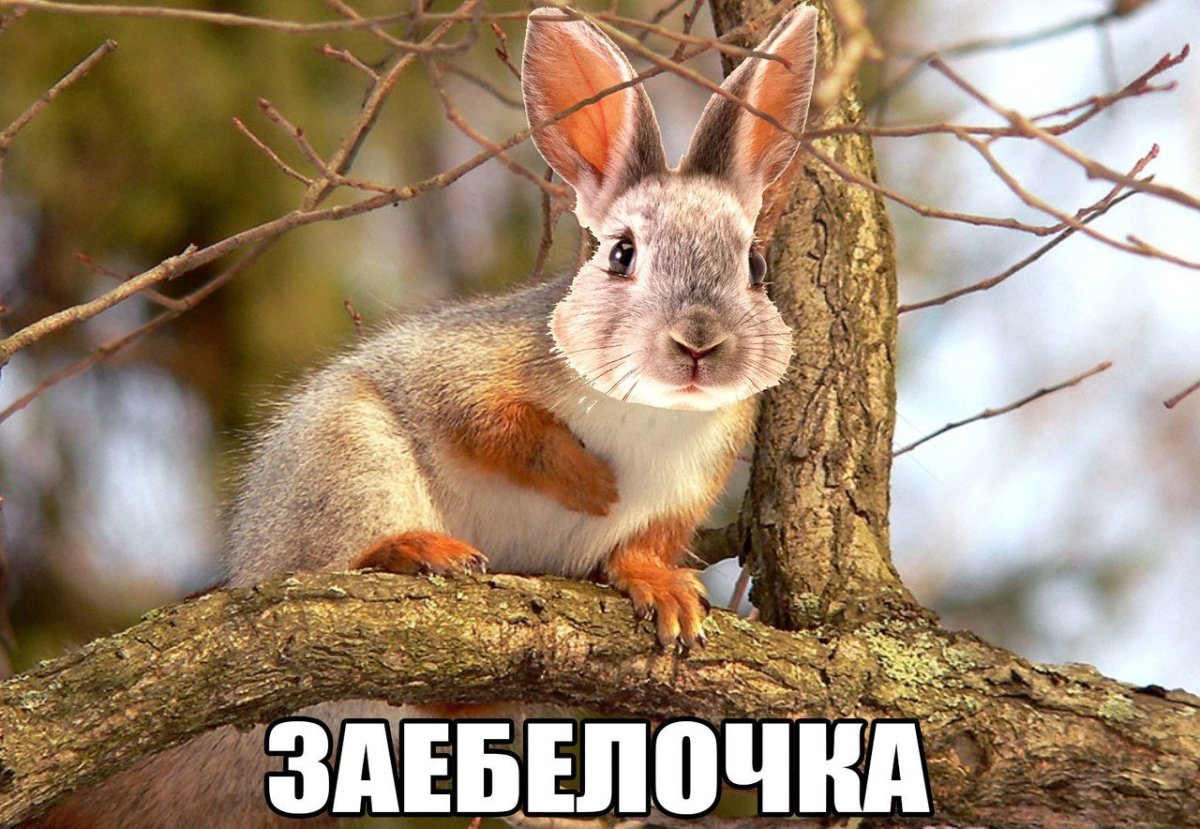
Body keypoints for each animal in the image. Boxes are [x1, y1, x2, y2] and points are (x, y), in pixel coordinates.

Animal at [31, 5, 818, 827]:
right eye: (620, 254)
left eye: (756, 265)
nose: (699, 341)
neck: (655, 412)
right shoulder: (464, 369)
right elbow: (484, 422)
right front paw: (583, 478)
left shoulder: (691, 481)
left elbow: (644, 545)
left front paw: (660, 586)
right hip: (346, 469)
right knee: (335, 563)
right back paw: (411, 550)